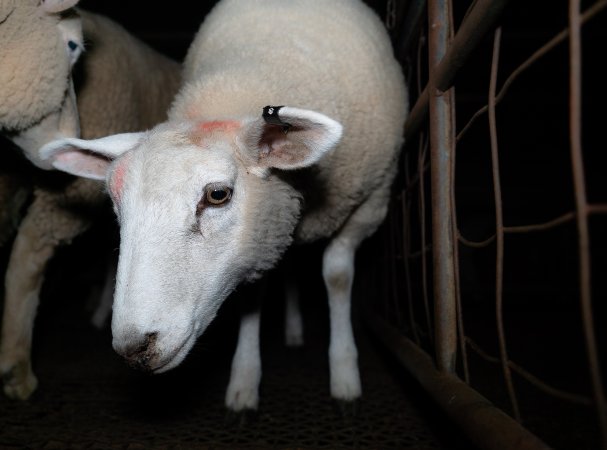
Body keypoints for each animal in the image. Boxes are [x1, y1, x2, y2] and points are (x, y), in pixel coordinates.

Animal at [41, 0, 408, 414]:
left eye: (218, 195)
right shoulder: (257, 240)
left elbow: (338, 276)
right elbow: (252, 297)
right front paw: (244, 380)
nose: (135, 348)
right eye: (117, 207)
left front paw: (344, 372)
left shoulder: (370, 204)